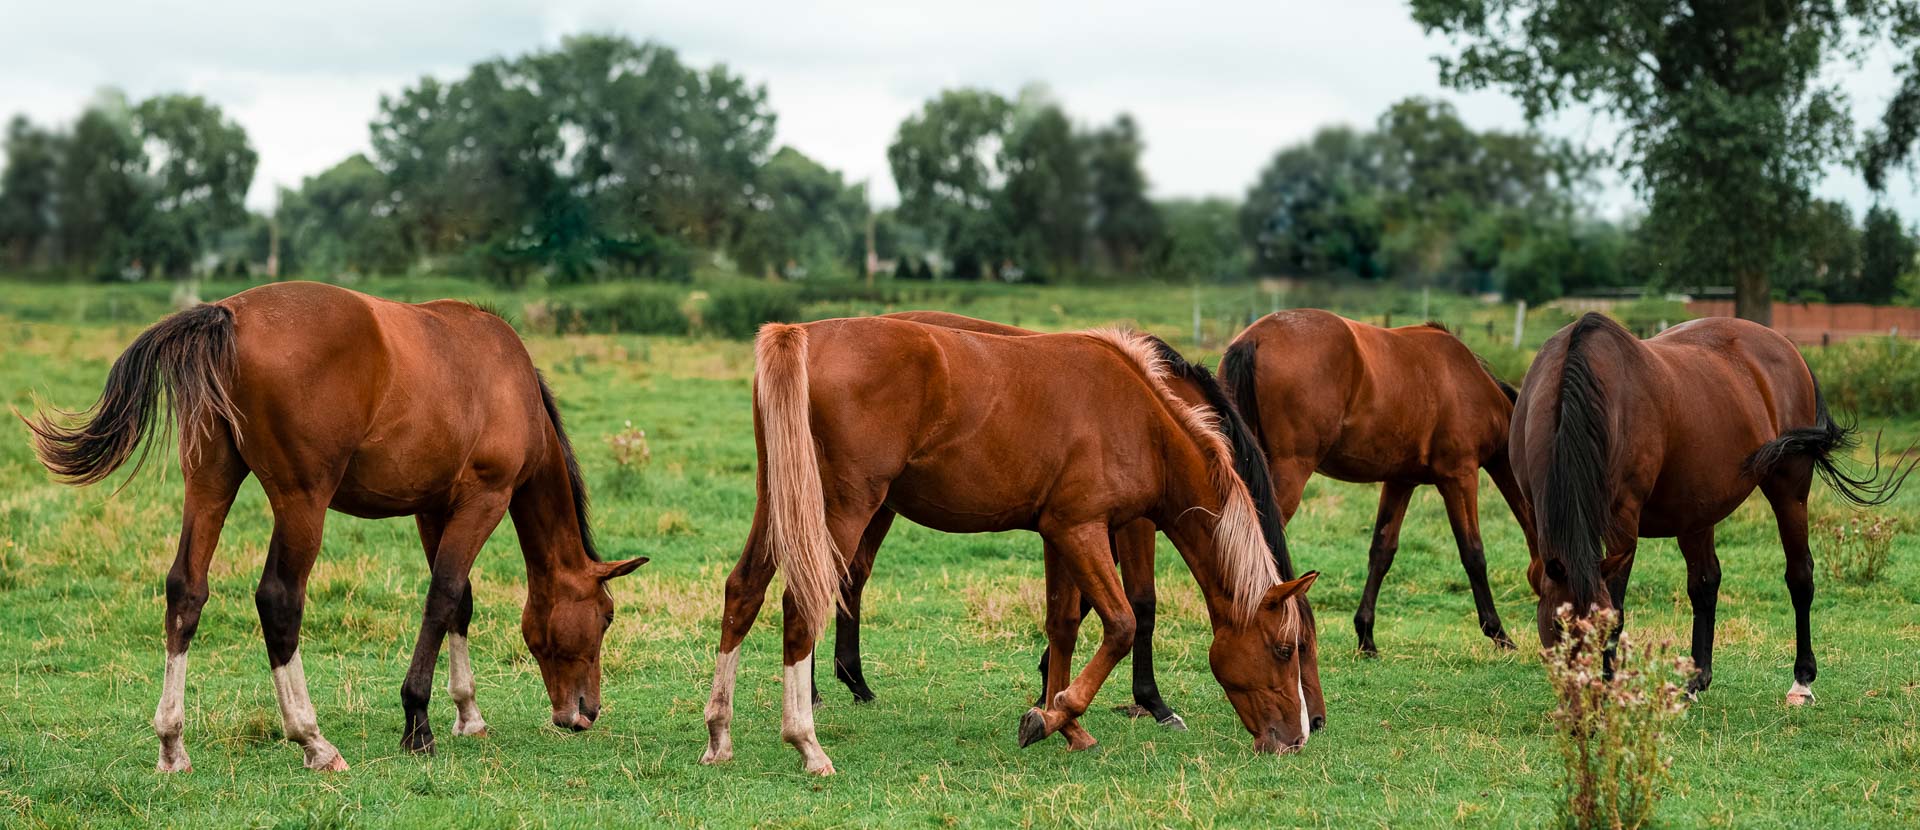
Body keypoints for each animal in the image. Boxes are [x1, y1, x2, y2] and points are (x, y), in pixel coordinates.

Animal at [22, 284, 648, 772]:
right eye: (607, 616)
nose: (584, 712)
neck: (506, 379)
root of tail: (230, 315)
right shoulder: (482, 501)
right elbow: (443, 597)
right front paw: (418, 721)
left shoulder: (432, 509)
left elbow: (460, 604)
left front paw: (467, 711)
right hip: (303, 503)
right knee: (279, 599)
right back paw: (312, 739)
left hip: (210, 481)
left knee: (186, 591)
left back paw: (173, 744)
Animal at [702, 315, 1320, 776]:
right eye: (1287, 649)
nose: (1297, 738)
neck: (1142, 419)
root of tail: (801, 333)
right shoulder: (1083, 531)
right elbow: (1122, 624)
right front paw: (1055, 716)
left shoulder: (1060, 534)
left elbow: (1063, 626)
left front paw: (1065, 724)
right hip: (843, 509)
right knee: (800, 607)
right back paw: (807, 744)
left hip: (778, 503)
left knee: (743, 592)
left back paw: (719, 735)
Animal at [1221, 309, 1536, 653]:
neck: (1469, 384)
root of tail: (1256, 338)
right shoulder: (1460, 477)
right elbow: (1473, 553)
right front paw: (1499, 633)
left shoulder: (1400, 481)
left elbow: (1382, 552)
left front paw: (1366, 636)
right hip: (1291, 471)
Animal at [1512, 311, 1904, 699]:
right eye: (1556, 625)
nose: (1579, 698)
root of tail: (1788, 347)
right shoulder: (1535, 511)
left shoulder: (1623, 520)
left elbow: (1618, 606)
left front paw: (1612, 690)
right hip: (1695, 511)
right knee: (1705, 582)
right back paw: (1696, 679)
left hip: (1789, 491)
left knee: (1799, 576)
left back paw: (1802, 680)